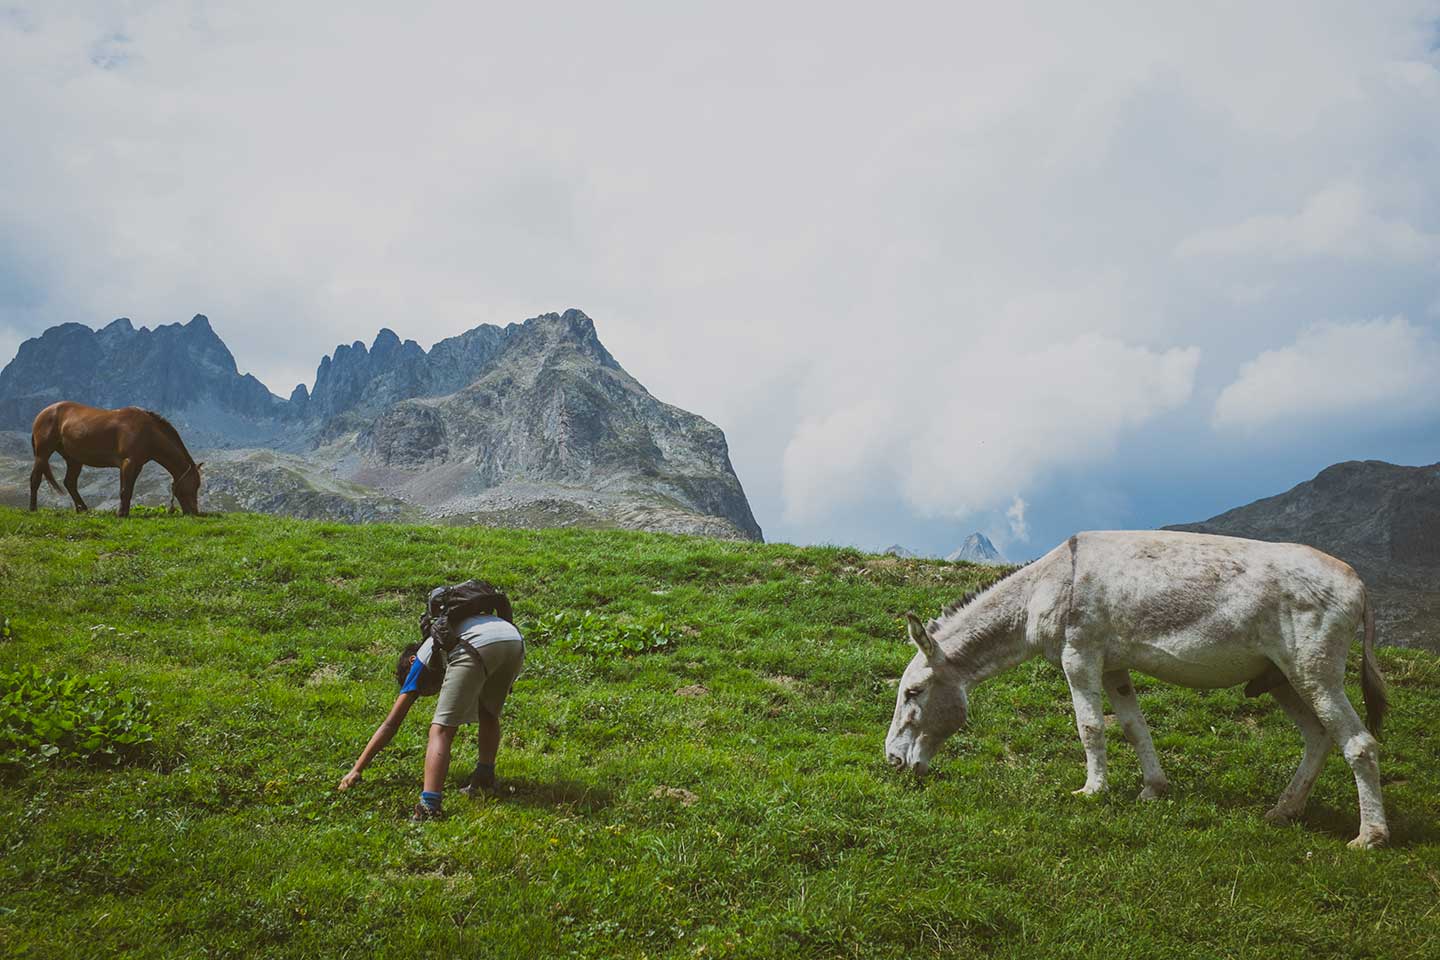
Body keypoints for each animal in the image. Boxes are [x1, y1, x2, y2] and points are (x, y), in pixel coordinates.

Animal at [29, 400, 203, 518]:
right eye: (194, 485)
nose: (194, 512)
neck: (148, 431)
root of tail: (43, 413)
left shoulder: (136, 466)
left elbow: (128, 490)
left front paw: (124, 512)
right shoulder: (128, 463)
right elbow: (125, 490)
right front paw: (121, 514)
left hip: (74, 460)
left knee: (70, 483)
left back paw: (82, 509)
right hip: (43, 454)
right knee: (35, 479)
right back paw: (33, 509)